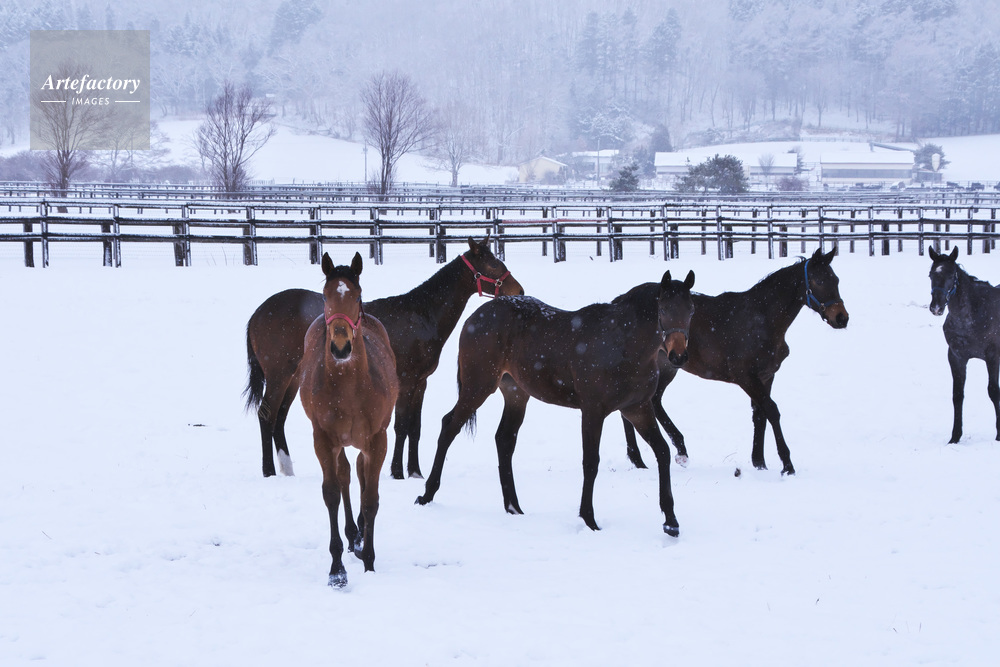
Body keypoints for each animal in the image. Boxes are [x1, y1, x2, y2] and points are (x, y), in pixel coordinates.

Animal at [244, 237, 523, 478]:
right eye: (492, 264)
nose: (518, 290)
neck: (421, 315)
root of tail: (258, 312)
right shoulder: (406, 381)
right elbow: (401, 426)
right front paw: (398, 472)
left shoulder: (421, 383)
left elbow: (415, 428)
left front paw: (415, 472)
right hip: (279, 376)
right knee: (266, 415)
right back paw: (269, 470)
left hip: (293, 378)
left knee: (279, 417)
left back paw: (287, 468)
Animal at [298, 252, 399, 588]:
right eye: (326, 296)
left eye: (356, 296)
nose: (341, 346)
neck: (349, 387)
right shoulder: (323, 439)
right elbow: (331, 492)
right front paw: (337, 569)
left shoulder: (378, 439)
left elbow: (371, 499)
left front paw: (368, 560)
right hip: (339, 442)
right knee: (344, 474)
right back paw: (352, 534)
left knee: (359, 473)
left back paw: (359, 537)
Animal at [415, 270, 696, 536]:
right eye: (664, 309)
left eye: (691, 310)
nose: (678, 356)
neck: (622, 344)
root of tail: (475, 316)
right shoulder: (593, 411)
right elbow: (590, 462)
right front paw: (589, 519)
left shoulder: (637, 409)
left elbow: (663, 452)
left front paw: (671, 522)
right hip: (478, 387)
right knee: (449, 426)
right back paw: (427, 494)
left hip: (516, 394)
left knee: (504, 440)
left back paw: (513, 507)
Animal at [622, 248, 849, 475]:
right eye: (818, 281)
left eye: (836, 280)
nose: (841, 318)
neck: (761, 319)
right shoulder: (746, 377)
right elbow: (772, 411)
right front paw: (787, 465)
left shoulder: (766, 376)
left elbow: (759, 415)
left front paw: (760, 463)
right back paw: (646, 457)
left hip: (666, 366)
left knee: (649, 402)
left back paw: (662, 454)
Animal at [928, 246, 1000, 443]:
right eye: (930, 275)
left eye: (951, 275)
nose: (936, 307)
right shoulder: (956, 357)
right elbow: (957, 395)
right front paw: (955, 436)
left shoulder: (992, 356)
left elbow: (993, 391)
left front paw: (999, 434)